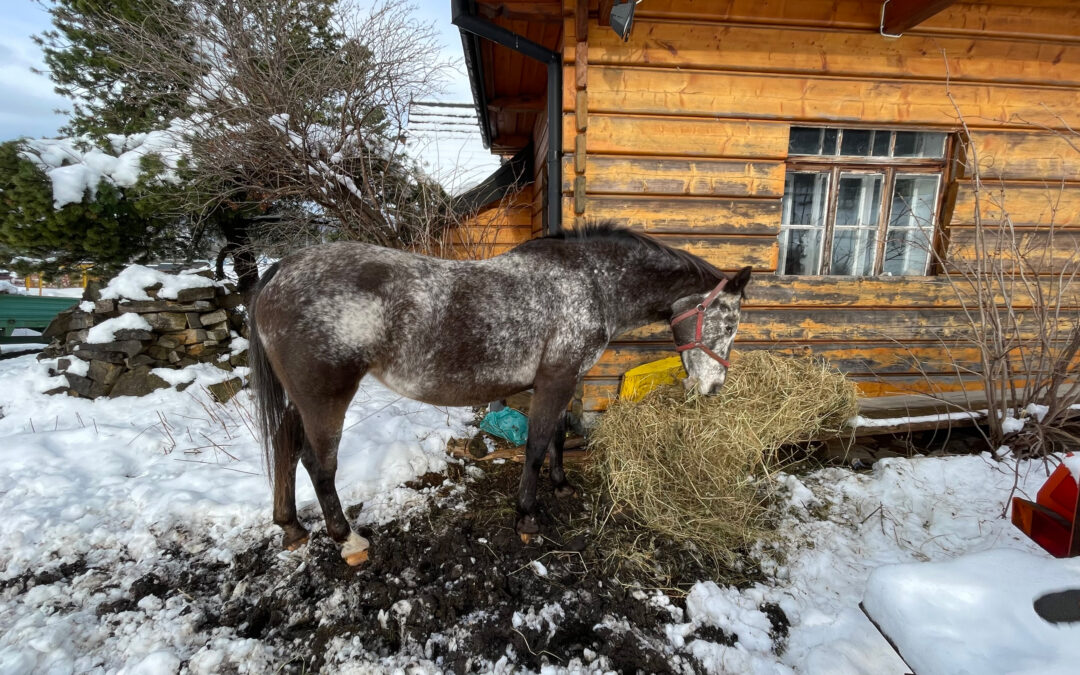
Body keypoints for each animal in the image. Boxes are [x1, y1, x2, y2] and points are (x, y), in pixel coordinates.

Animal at [247, 223, 751, 561]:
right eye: (729, 324)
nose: (713, 388)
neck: (592, 280)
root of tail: (281, 270)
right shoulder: (555, 379)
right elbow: (536, 445)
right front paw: (527, 517)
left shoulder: (564, 380)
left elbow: (557, 436)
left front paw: (561, 485)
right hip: (326, 397)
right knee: (318, 464)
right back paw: (348, 540)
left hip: (301, 400)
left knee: (286, 445)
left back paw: (291, 527)